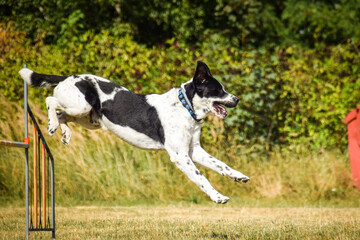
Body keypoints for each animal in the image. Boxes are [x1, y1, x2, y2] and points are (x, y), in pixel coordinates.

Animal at [19, 61, 250, 203]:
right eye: (218, 90)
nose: (237, 99)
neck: (186, 107)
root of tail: (67, 77)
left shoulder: (194, 150)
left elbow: (221, 165)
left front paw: (239, 176)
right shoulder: (180, 156)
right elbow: (202, 178)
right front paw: (218, 197)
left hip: (89, 118)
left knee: (62, 115)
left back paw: (65, 133)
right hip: (80, 105)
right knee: (51, 101)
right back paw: (51, 125)